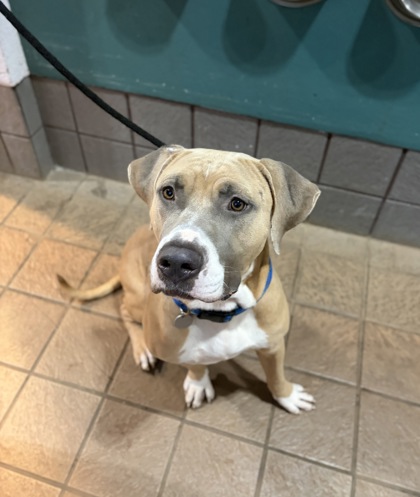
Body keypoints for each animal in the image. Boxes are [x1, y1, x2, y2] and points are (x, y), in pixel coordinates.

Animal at [59, 145, 320, 413]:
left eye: (237, 204)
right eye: (168, 192)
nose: (176, 262)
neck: (221, 312)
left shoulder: (274, 345)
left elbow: (276, 375)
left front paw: (287, 396)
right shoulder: (176, 350)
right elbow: (195, 363)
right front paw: (198, 383)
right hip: (137, 298)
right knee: (124, 309)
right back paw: (143, 350)